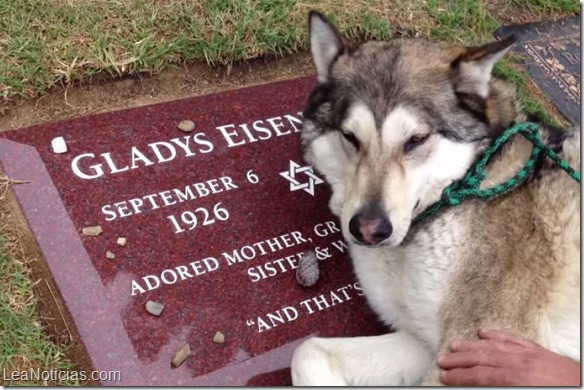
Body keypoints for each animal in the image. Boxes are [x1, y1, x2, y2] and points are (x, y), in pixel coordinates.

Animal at [290, 10, 580, 386]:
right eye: (350, 136)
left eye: (416, 139)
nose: (368, 229)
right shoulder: (425, 343)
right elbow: (306, 349)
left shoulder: (476, 348)